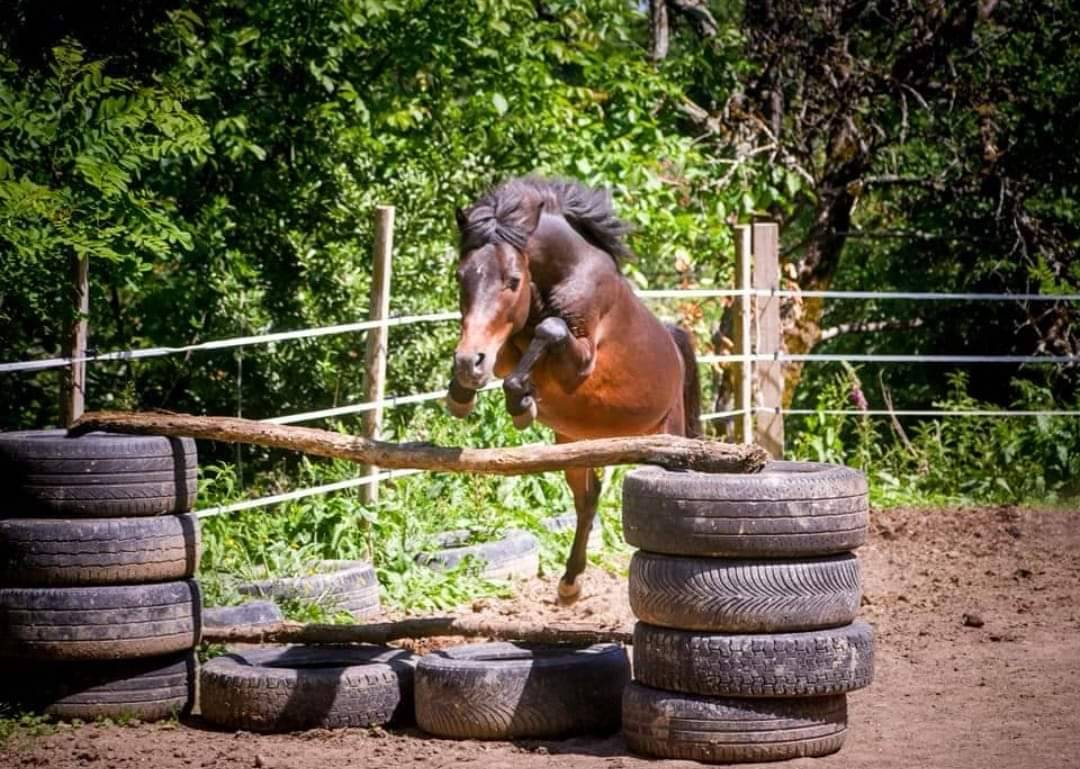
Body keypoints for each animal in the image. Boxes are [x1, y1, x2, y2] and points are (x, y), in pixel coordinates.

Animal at [444, 176, 701, 602]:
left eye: (513, 281)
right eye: (460, 277)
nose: (469, 363)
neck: (562, 275)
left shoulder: (580, 363)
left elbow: (551, 330)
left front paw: (520, 403)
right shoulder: (504, 350)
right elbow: (500, 354)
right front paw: (463, 392)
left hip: (667, 440)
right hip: (573, 444)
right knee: (587, 498)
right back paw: (569, 583)